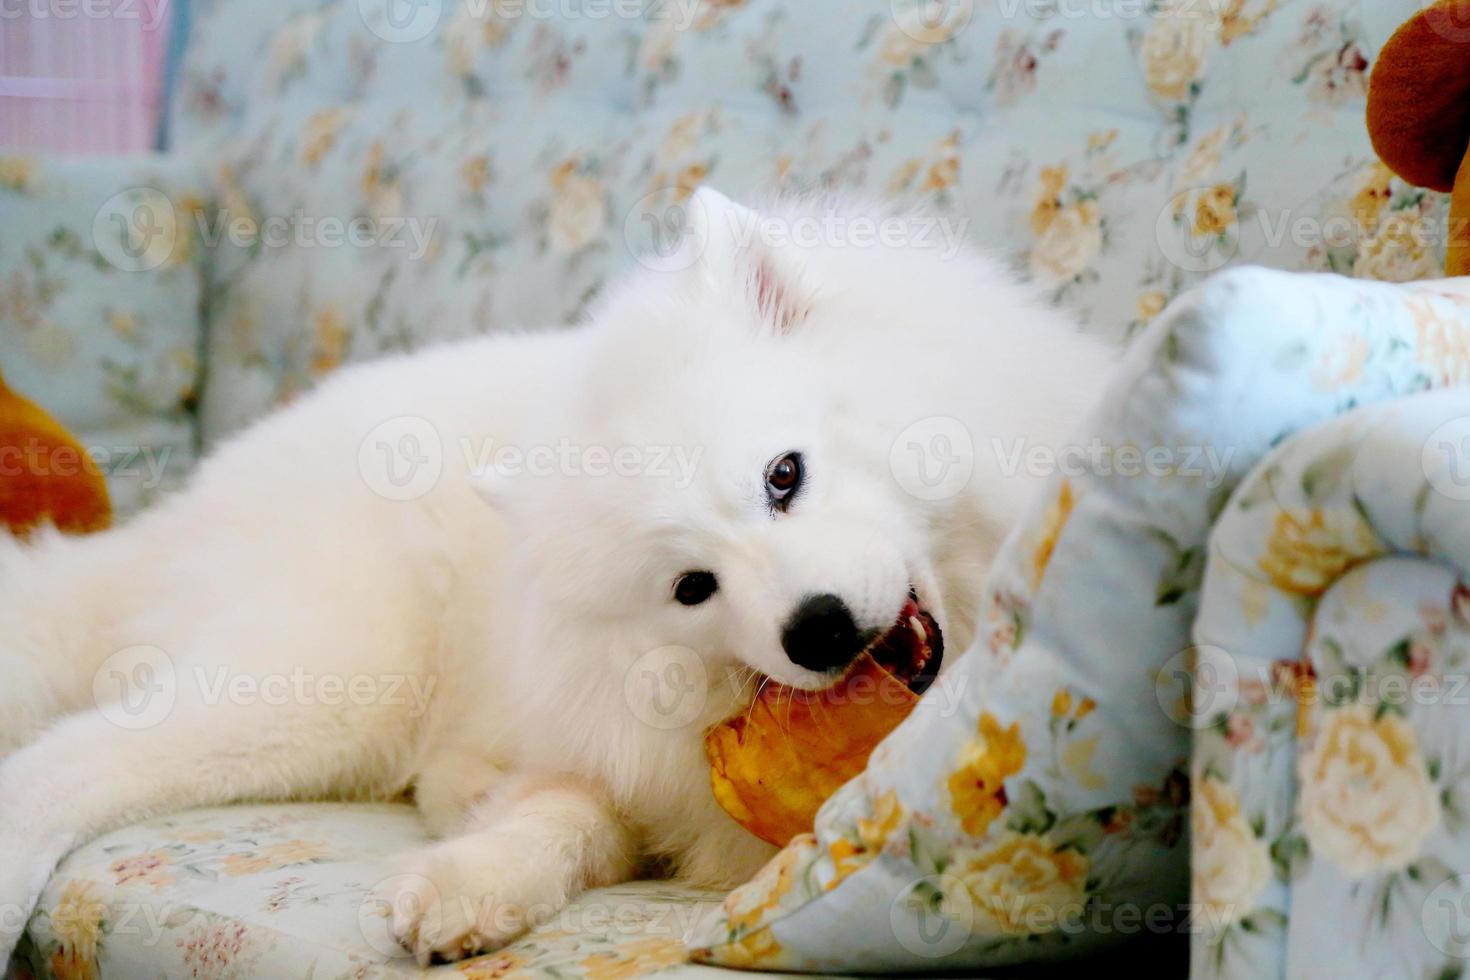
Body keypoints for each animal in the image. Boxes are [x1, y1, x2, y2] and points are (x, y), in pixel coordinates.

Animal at [0, 189, 1105, 963]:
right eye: (692, 586)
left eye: (783, 474)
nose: (820, 628)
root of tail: (190, 502)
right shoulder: (611, 751)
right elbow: (558, 815)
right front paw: (466, 880)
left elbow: (556, 816)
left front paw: (465, 880)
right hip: (315, 694)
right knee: (63, 761)